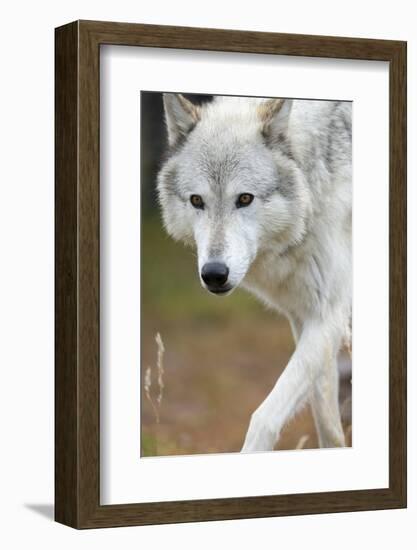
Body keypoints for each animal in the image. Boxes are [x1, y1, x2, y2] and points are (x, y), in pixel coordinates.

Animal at [156, 92, 352, 450]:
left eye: (245, 198)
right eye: (197, 201)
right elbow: (327, 422)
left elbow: (264, 417)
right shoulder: (304, 317)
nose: (214, 273)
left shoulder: (330, 315)